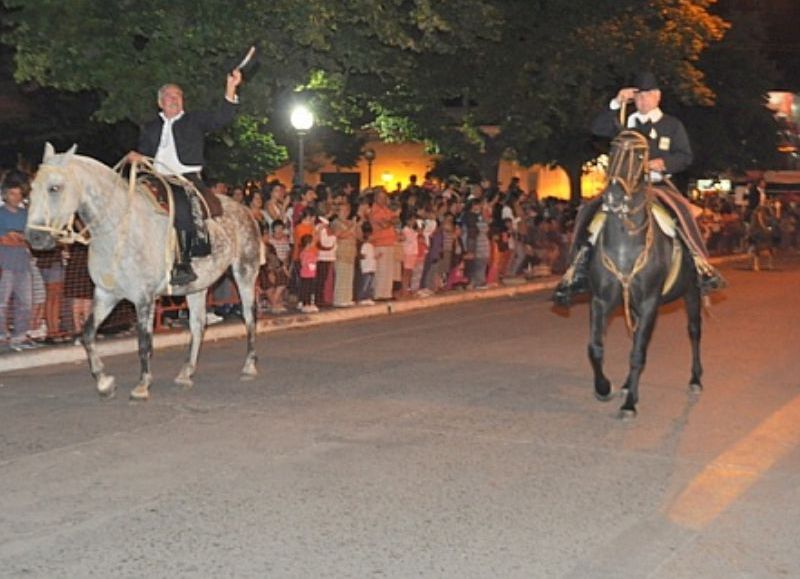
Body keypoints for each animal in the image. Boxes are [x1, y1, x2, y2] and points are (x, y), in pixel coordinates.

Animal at [584, 131, 704, 420]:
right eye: (612, 151)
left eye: (640, 156)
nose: (614, 198)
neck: (625, 243)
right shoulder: (601, 300)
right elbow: (595, 347)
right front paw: (604, 387)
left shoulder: (650, 302)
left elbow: (638, 353)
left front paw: (629, 405)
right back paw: (628, 384)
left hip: (692, 292)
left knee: (694, 332)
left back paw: (695, 379)